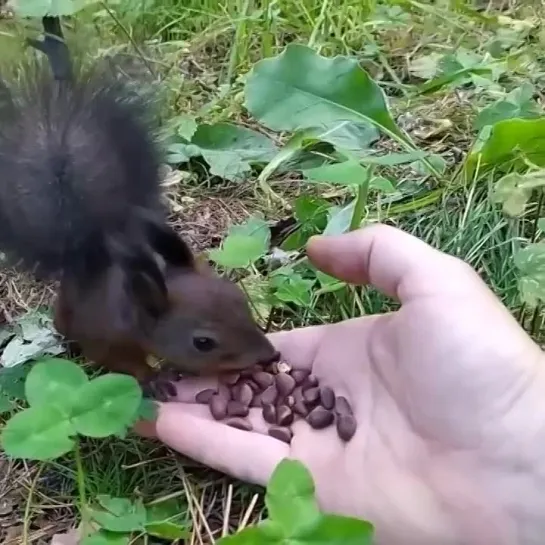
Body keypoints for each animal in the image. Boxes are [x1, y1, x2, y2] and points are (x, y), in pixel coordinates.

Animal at [0, 17, 278, 400]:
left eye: (240, 299)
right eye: (203, 343)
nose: (271, 356)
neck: (133, 309)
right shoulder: (106, 337)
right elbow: (121, 363)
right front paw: (152, 379)